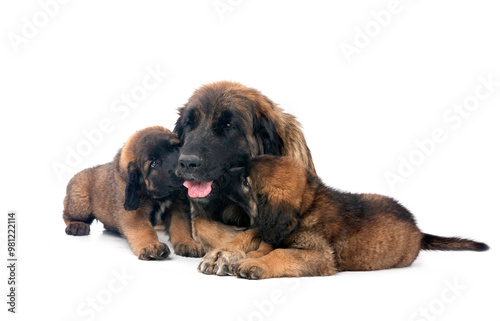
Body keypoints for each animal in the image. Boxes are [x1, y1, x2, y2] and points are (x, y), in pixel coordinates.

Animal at [62, 125, 187, 260]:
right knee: (67, 215)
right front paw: (151, 245)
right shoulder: (134, 213)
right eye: (154, 164)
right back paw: (77, 225)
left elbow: (179, 225)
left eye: (174, 147)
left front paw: (187, 243)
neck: (159, 196)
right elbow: (144, 230)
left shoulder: (176, 206)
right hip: (80, 201)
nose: (182, 169)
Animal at [198, 155, 488, 278]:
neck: (307, 205)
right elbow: (265, 244)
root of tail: (419, 232)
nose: (220, 174)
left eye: (245, 181)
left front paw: (252, 264)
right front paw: (241, 257)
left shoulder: (319, 254)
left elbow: (281, 253)